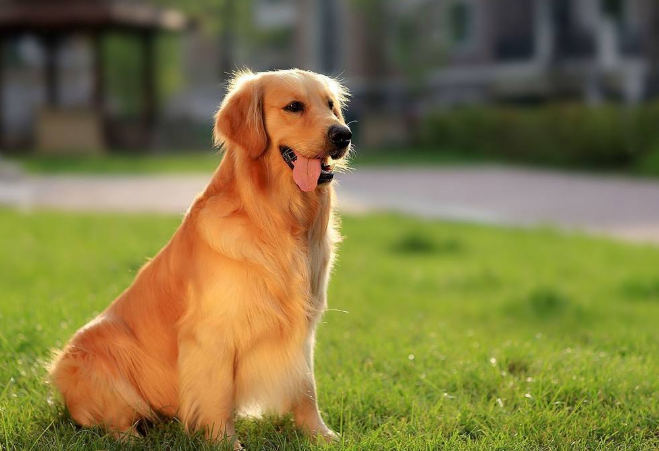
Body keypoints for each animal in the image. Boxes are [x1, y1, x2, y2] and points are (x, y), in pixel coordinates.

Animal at [49, 69, 354, 446]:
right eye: (294, 107)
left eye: (331, 106)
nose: (343, 135)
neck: (276, 220)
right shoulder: (211, 335)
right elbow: (218, 398)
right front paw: (226, 443)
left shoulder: (301, 327)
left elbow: (306, 388)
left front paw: (321, 435)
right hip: (95, 350)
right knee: (114, 422)